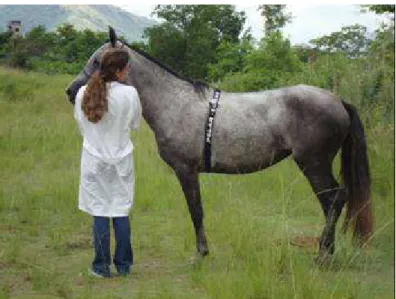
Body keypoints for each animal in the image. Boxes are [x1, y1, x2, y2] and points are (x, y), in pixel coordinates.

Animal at [65, 28, 372, 262]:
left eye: (98, 61)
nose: (71, 91)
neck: (174, 104)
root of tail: (338, 101)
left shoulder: (186, 170)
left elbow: (196, 210)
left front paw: (200, 254)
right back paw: (327, 251)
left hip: (314, 163)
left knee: (334, 200)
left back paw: (323, 254)